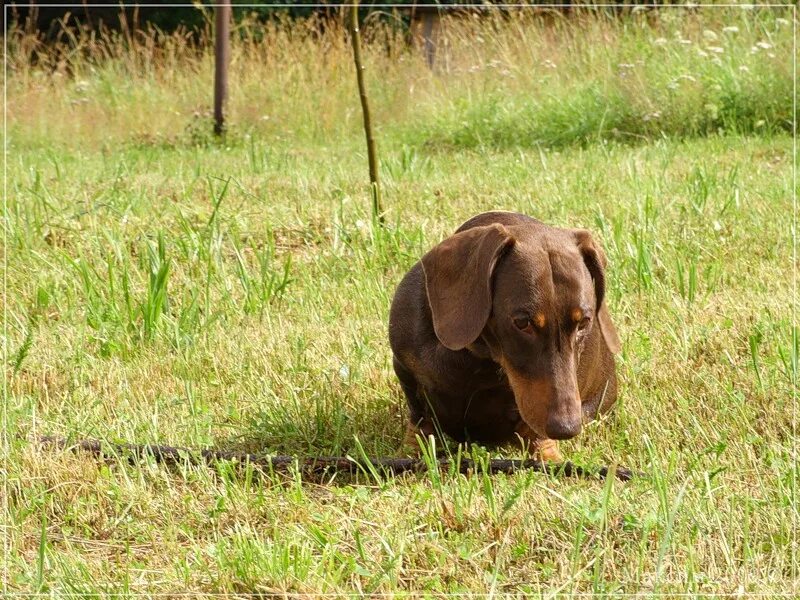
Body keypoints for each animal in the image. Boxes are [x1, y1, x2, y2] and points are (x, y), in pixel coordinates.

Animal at [390, 211, 620, 460]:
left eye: (584, 322)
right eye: (522, 322)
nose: (566, 428)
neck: (475, 358)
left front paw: (550, 457)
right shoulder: (405, 369)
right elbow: (420, 420)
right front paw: (411, 452)